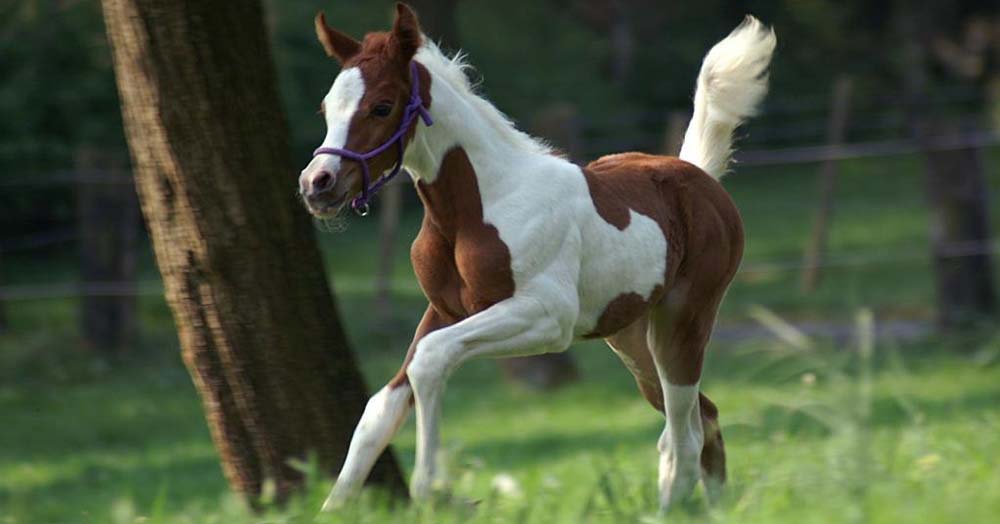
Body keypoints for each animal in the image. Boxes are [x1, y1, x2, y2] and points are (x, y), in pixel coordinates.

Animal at [300, 4, 776, 512]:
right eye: (327, 107)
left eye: (382, 106)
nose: (317, 184)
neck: (476, 208)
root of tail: (700, 177)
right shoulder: (442, 311)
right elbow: (379, 409)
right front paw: (333, 509)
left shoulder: (547, 317)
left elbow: (431, 359)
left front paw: (434, 490)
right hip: (631, 337)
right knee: (700, 419)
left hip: (683, 320)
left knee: (684, 436)